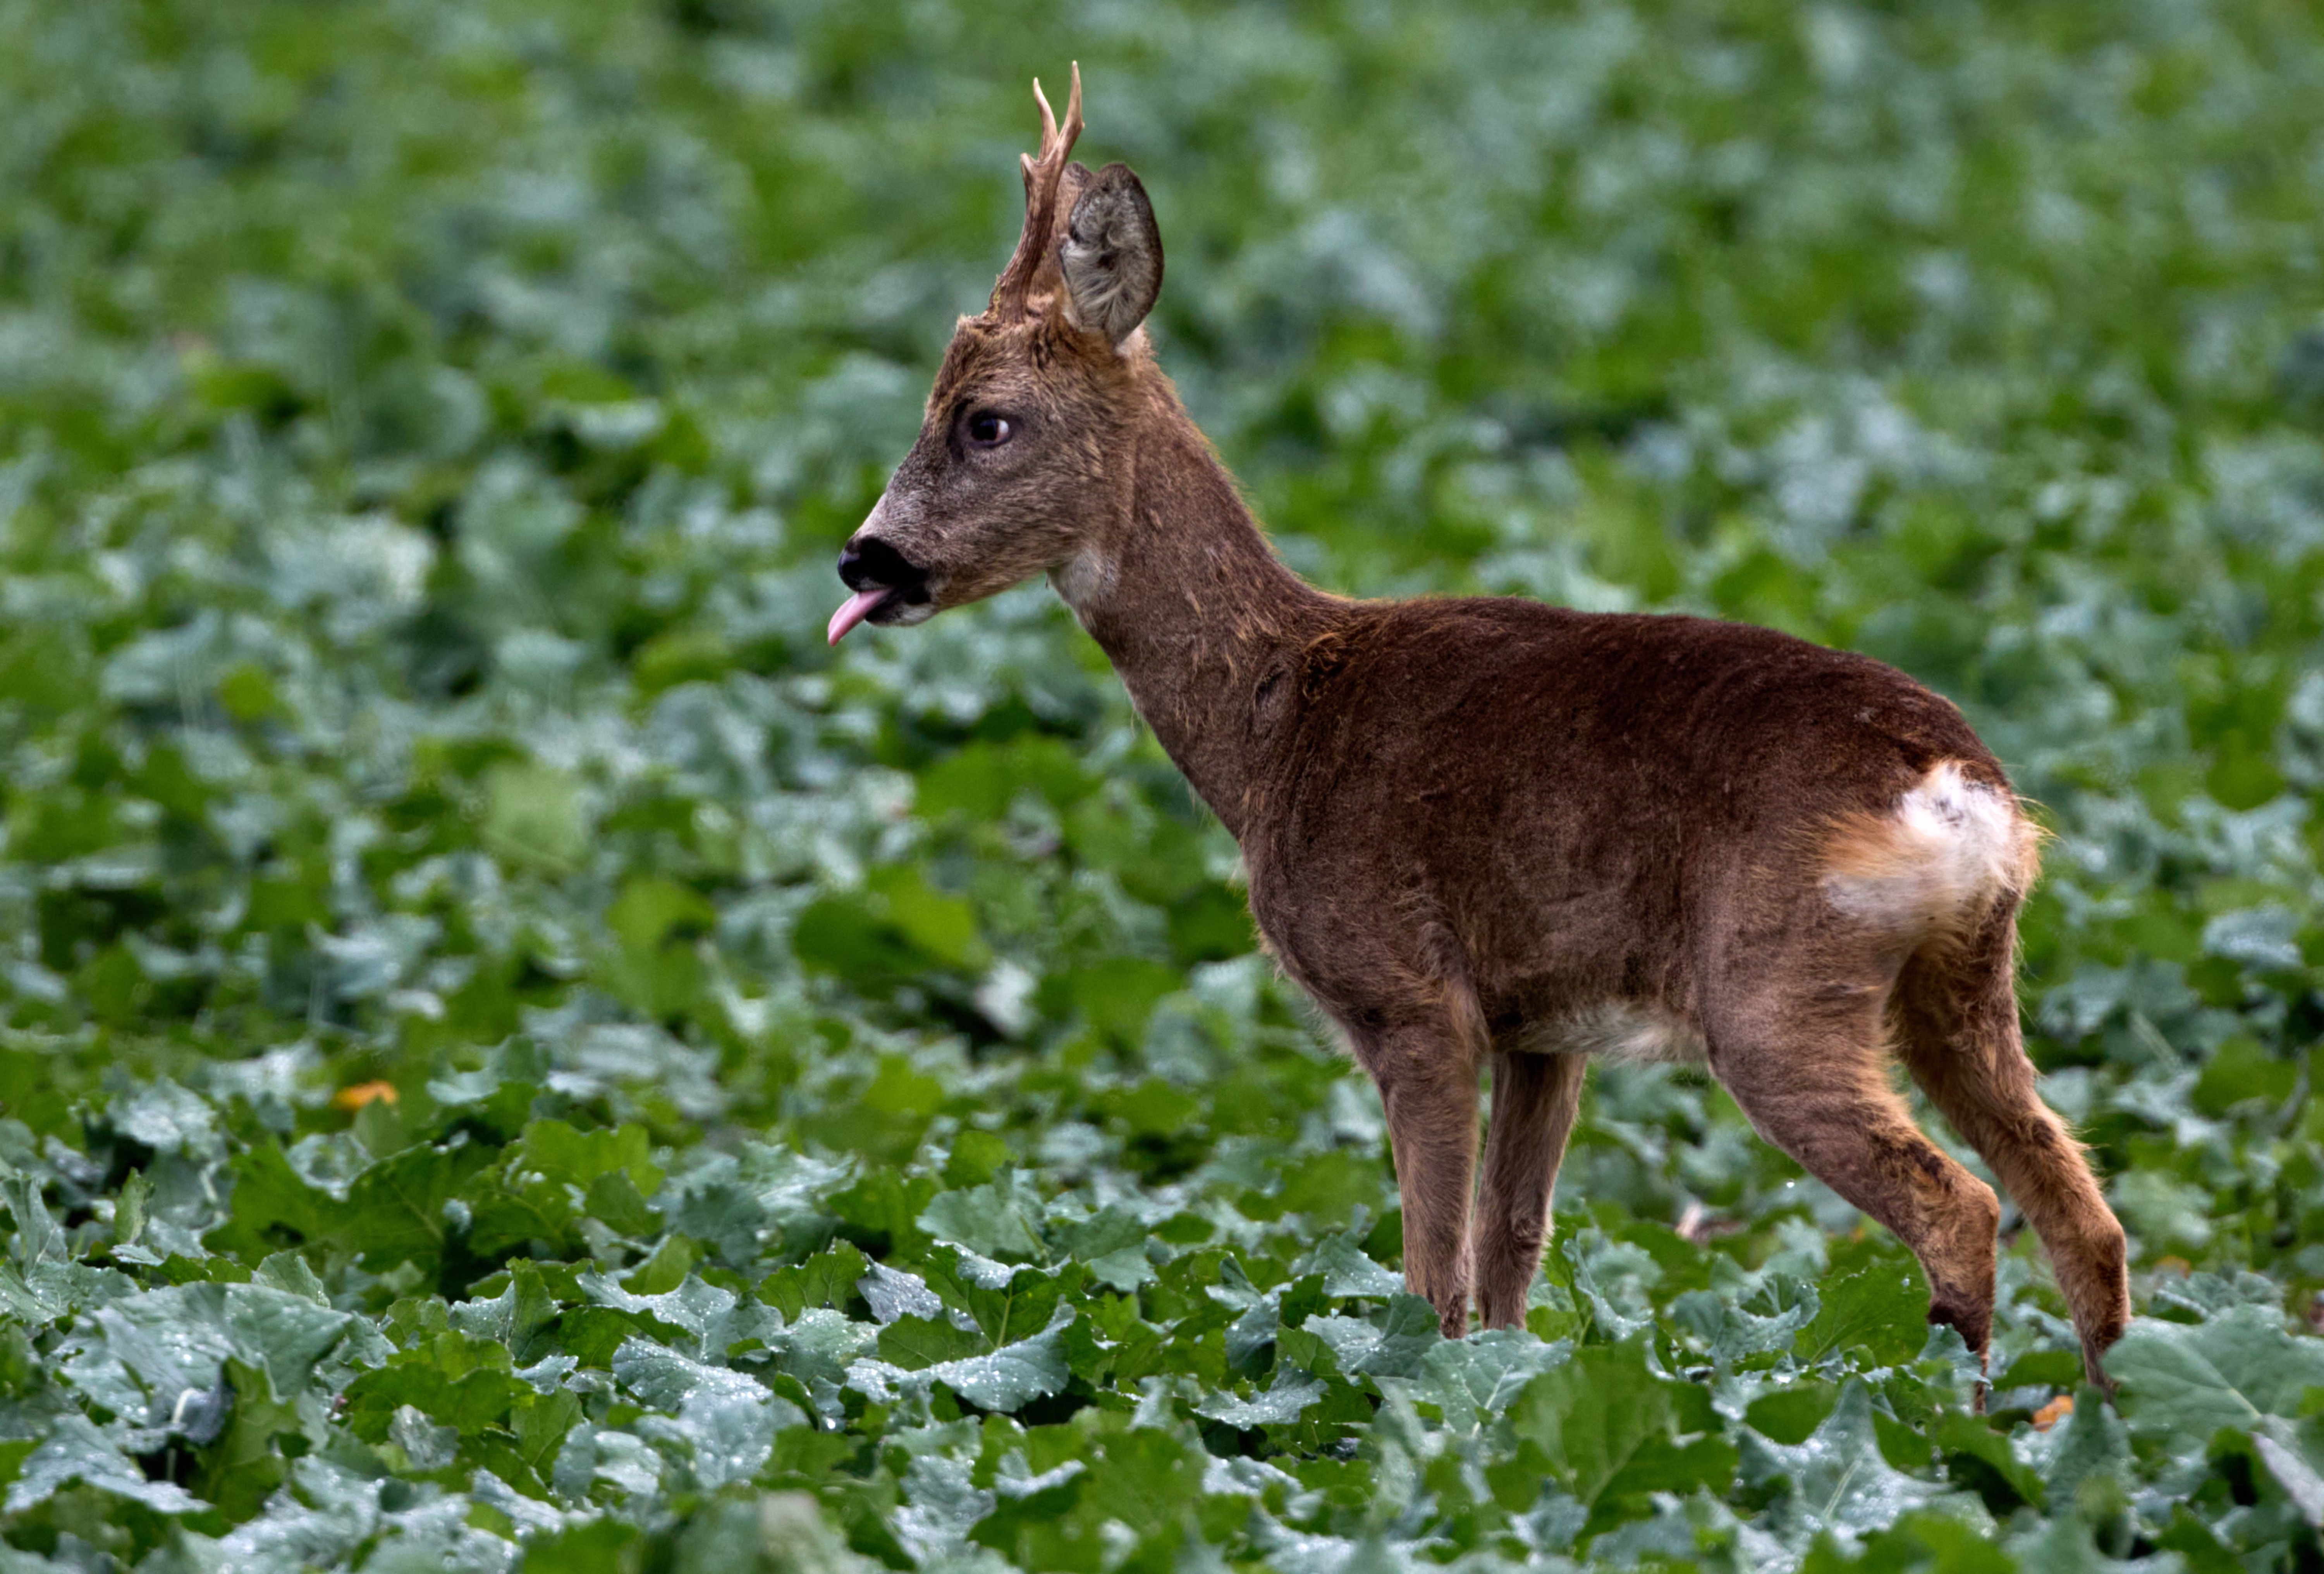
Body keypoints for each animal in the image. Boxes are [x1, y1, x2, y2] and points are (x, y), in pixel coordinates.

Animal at [825, 67, 2130, 1388]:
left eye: (984, 421)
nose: (864, 557)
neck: (1276, 722)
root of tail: (1953, 784)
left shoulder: (1409, 994)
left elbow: (1434, 1274)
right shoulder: (1543, 1024)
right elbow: (1510, 1258)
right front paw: (1498, 1396)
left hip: (1776, 983)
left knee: (1962, 1205)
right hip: (1964, 982)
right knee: (2082, 1208)